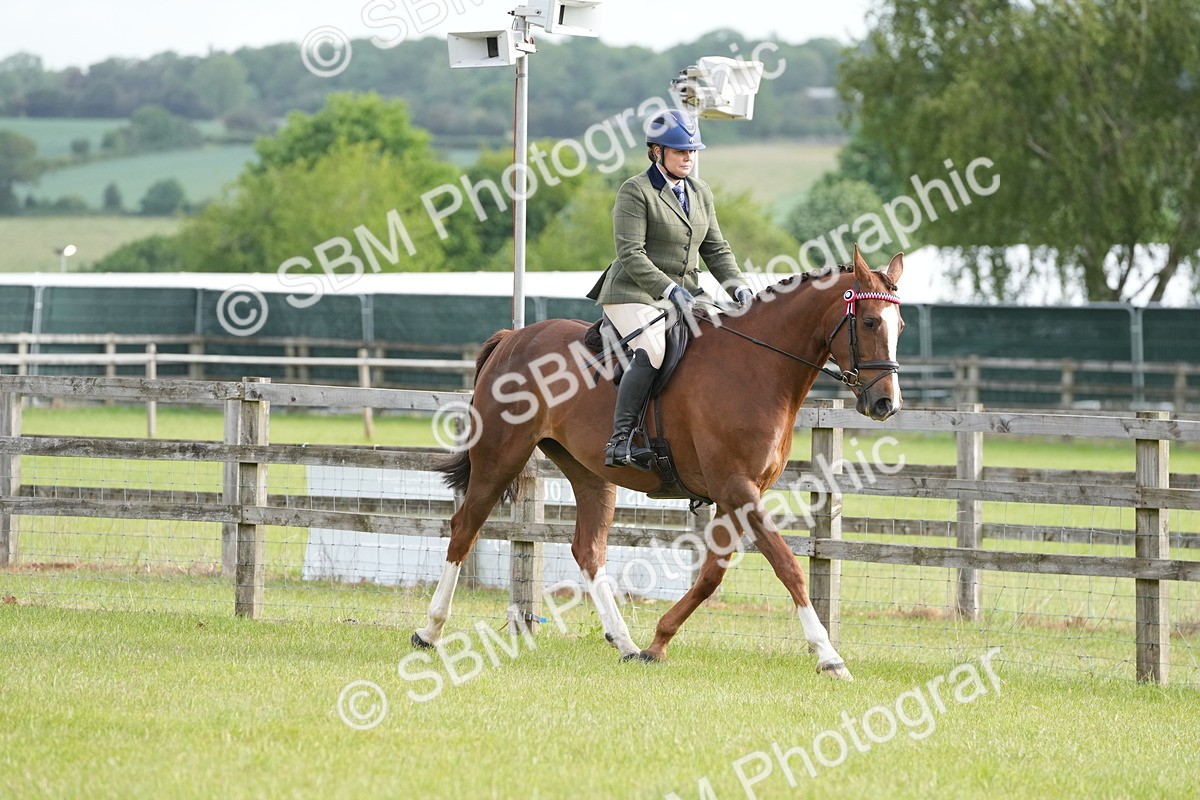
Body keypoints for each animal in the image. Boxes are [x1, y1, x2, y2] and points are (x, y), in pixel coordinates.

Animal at [413, 246, 905, 680]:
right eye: (869, 321)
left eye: (899, 324)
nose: (886, 405)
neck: (756, 366)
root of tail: (514, 338)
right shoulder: (737, 489)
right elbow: (788, 568)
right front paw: (829, 657)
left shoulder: (737, 495)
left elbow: (711, 575)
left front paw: (657, 643)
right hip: (500, 456)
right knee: (465, 528)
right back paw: (430, 630)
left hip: (590, 473)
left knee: (587, 550)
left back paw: (625, 643)